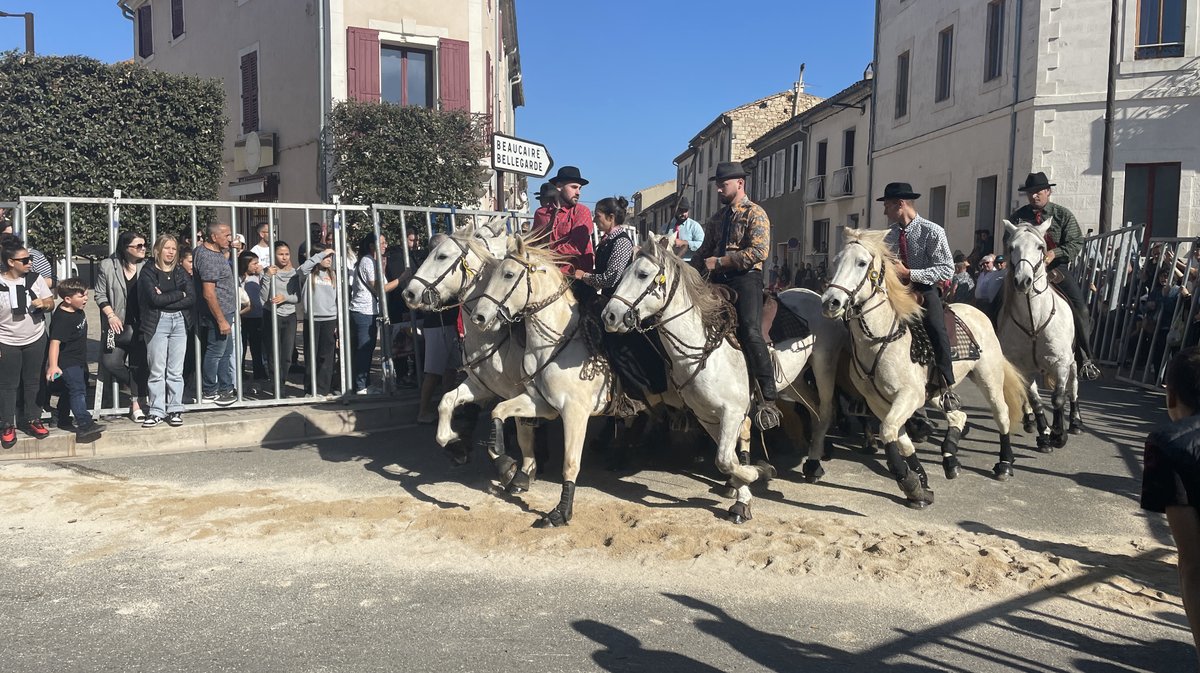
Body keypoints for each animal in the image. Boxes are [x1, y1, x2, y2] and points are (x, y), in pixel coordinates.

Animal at [400, 219, 537, 487]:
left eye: (442, 256)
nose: (408, 293)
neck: (492, 333)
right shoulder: (482, 385)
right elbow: (446, 402)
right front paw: (456, 444)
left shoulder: (521, 391)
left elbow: (523, 429)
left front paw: (523, 470)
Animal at [820, 227, 1027, 506]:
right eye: (835, 261)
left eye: (861, 263)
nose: (830, 302)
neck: (882, 337)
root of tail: (978, 312)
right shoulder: (878, 400)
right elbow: (898, 438)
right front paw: (919, 484)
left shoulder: (909, 395)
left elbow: (889, 432)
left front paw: (910, 483)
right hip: (937, 392)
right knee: (958, 416)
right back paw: (950, 458)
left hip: (989, 377)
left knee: (1002, 414)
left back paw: (1004, 463)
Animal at [993, 220, 1080, 448]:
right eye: (1012, 247)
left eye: (1040, 247)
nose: (1023, 281)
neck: (1034, 322)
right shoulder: (1024, 368)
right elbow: (1034, 400)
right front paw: (1044, 434)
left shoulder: (1060, 362)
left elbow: (1058, 398)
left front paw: (1059, 434)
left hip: (1073, 359)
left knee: (1074, 384)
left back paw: (1075, 421)